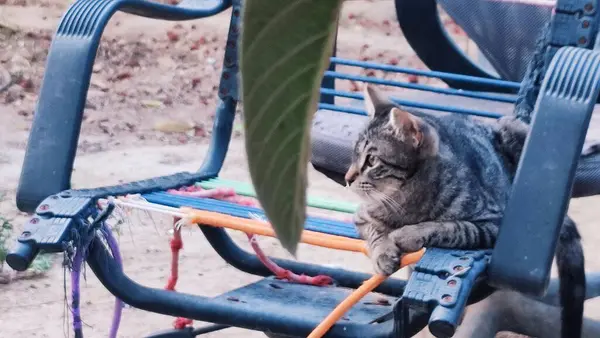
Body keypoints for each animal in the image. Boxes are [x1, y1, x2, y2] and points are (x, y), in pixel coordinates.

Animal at [346, 83, 584, 336]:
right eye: (354, 155)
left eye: (371, 160)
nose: (347, 178)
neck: (408, 201)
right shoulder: (362, 215)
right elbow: (375, 233)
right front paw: (383, 252)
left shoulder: (496, 224)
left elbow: (451, 227)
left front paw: (408, 233)